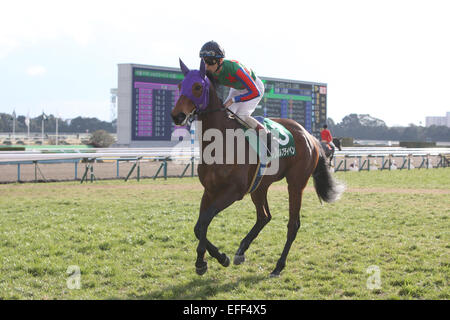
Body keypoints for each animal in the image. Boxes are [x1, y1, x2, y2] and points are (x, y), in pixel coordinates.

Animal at [170, 60, 344, 278]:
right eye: (179, 86)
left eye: (197, 87)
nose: (177, 116)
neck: (221, 142)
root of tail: (309, 136)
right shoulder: (209, 191)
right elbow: (198, 226)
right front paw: (218, 258)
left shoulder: (233, 192)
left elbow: (204, 222)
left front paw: (204, 261)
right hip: (260, 186)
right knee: (264, 217)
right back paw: (241, 251)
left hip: (296, 184)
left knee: (293, 224)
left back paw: (278, 266)